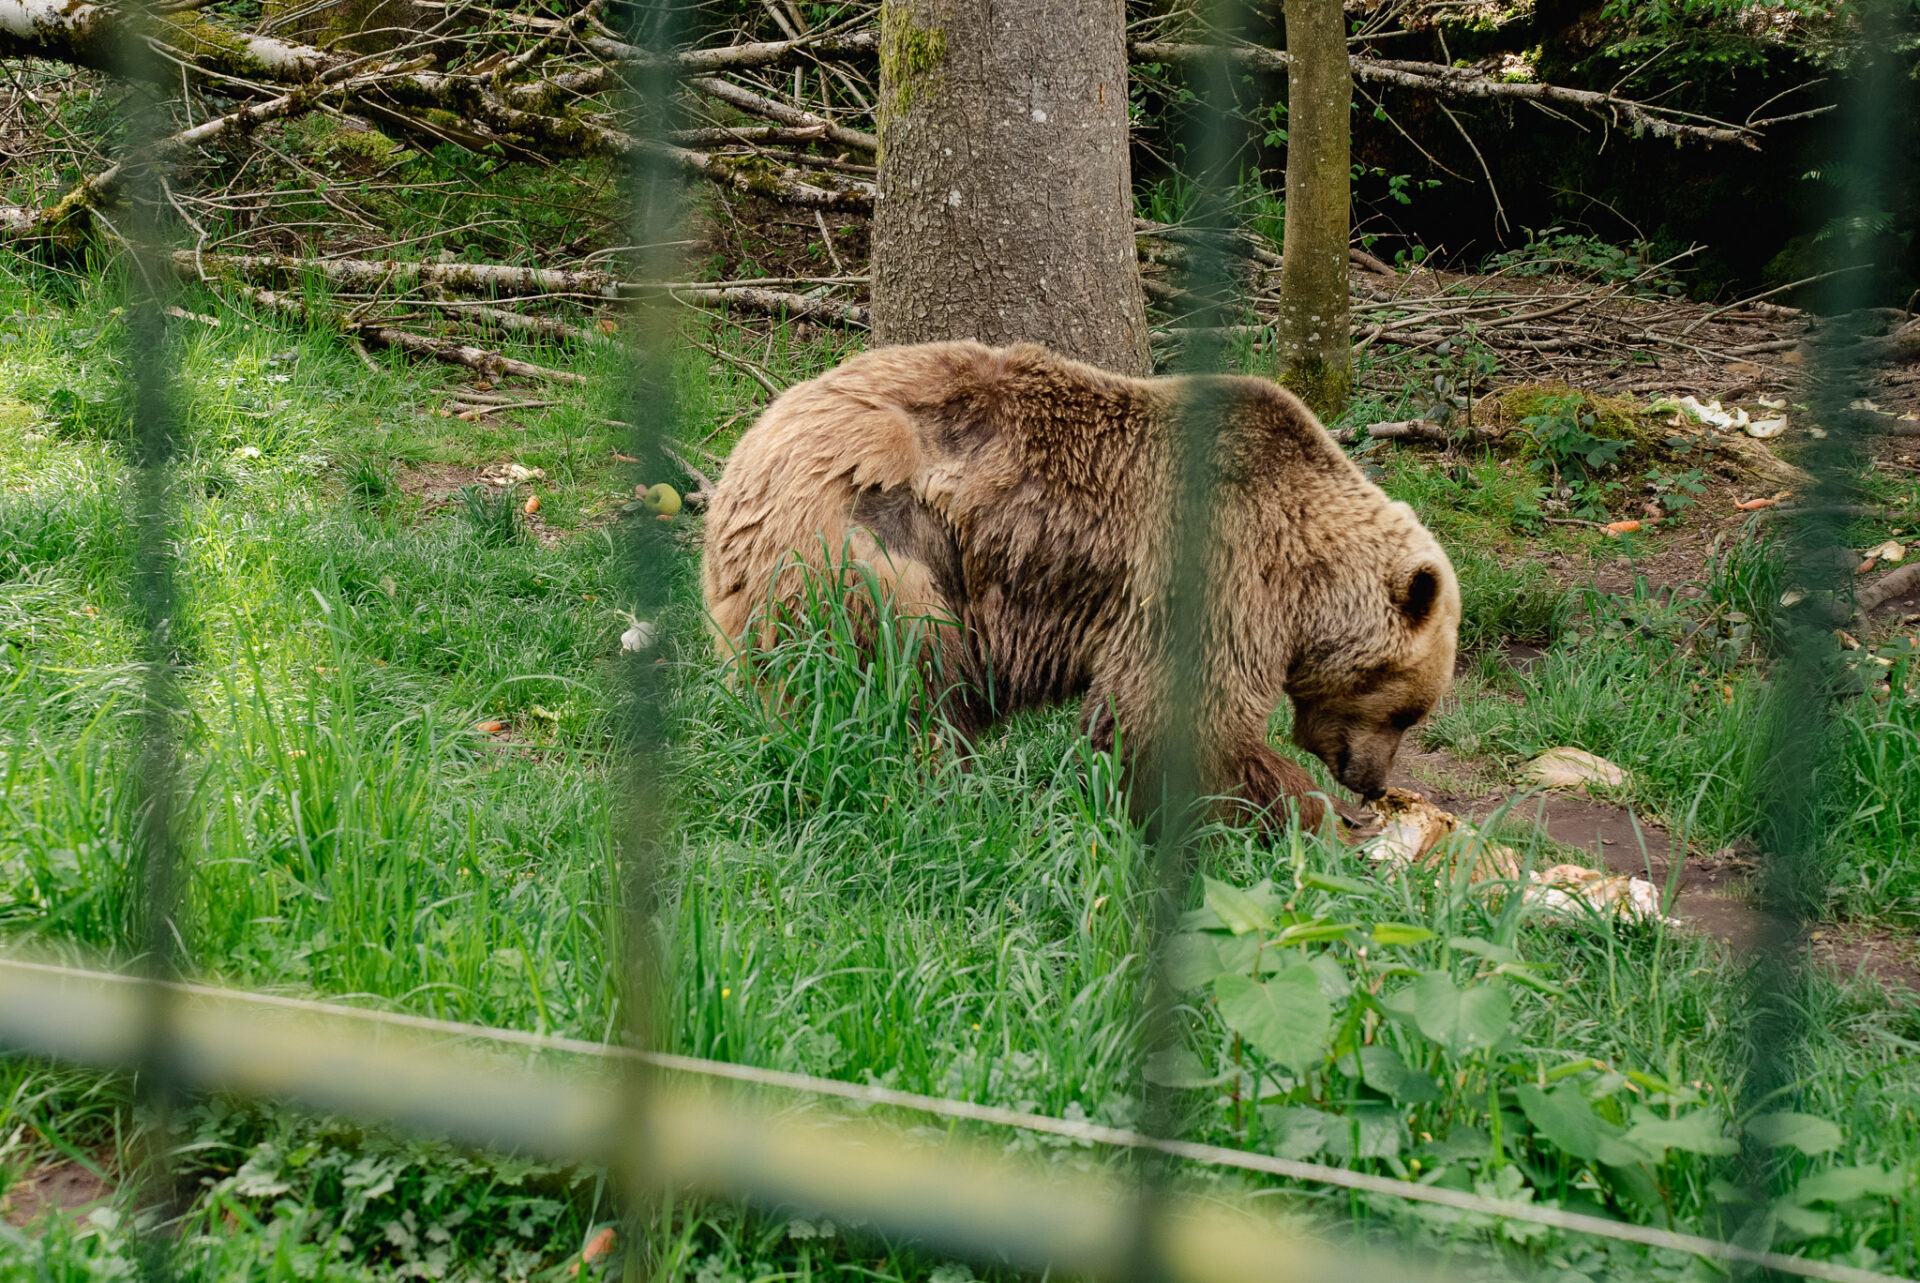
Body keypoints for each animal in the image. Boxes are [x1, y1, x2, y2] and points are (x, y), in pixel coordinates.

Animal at [700, 340, 1460, 832]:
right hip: (867, 546)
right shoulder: (1217, 573)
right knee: (903, 672)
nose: (1373, 780)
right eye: (1408, 711)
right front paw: (1317, 819)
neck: (1307, 574)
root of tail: (743, 456)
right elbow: (1175, 719)